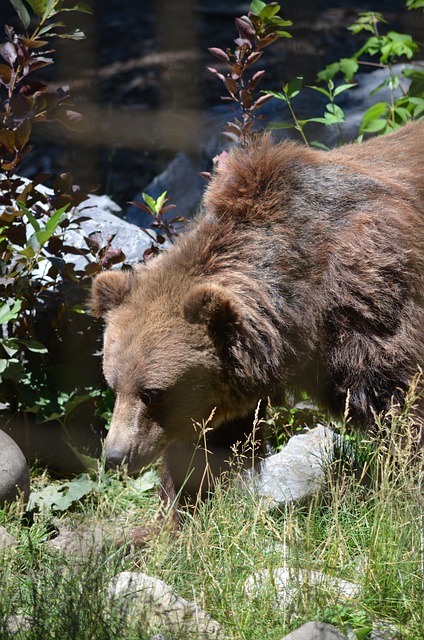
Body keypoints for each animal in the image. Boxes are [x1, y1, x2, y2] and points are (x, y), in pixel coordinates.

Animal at [91, 121, 424, 504]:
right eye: (114, 384)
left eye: (152, 392)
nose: (115, 455)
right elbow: (210, 444)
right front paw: (180, 504)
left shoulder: (369, 292)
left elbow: (398, 399)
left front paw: (402, 485)